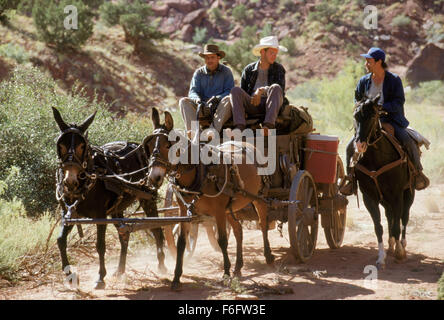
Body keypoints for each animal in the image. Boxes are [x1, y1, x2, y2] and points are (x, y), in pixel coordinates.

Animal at [144, 107, 274, 290]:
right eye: (148, 145)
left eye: (168, 145)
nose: (154, 177)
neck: (201, 173)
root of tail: (250, 145)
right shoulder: (184, 212)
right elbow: (182, 243)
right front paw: (176, 277)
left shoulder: (218, 212)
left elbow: (222, 241)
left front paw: (225, 274)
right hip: (231, 208)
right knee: (238, 231)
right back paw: (238, 266)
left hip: (259, 197)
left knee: (263, 224)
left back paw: (268, 256)